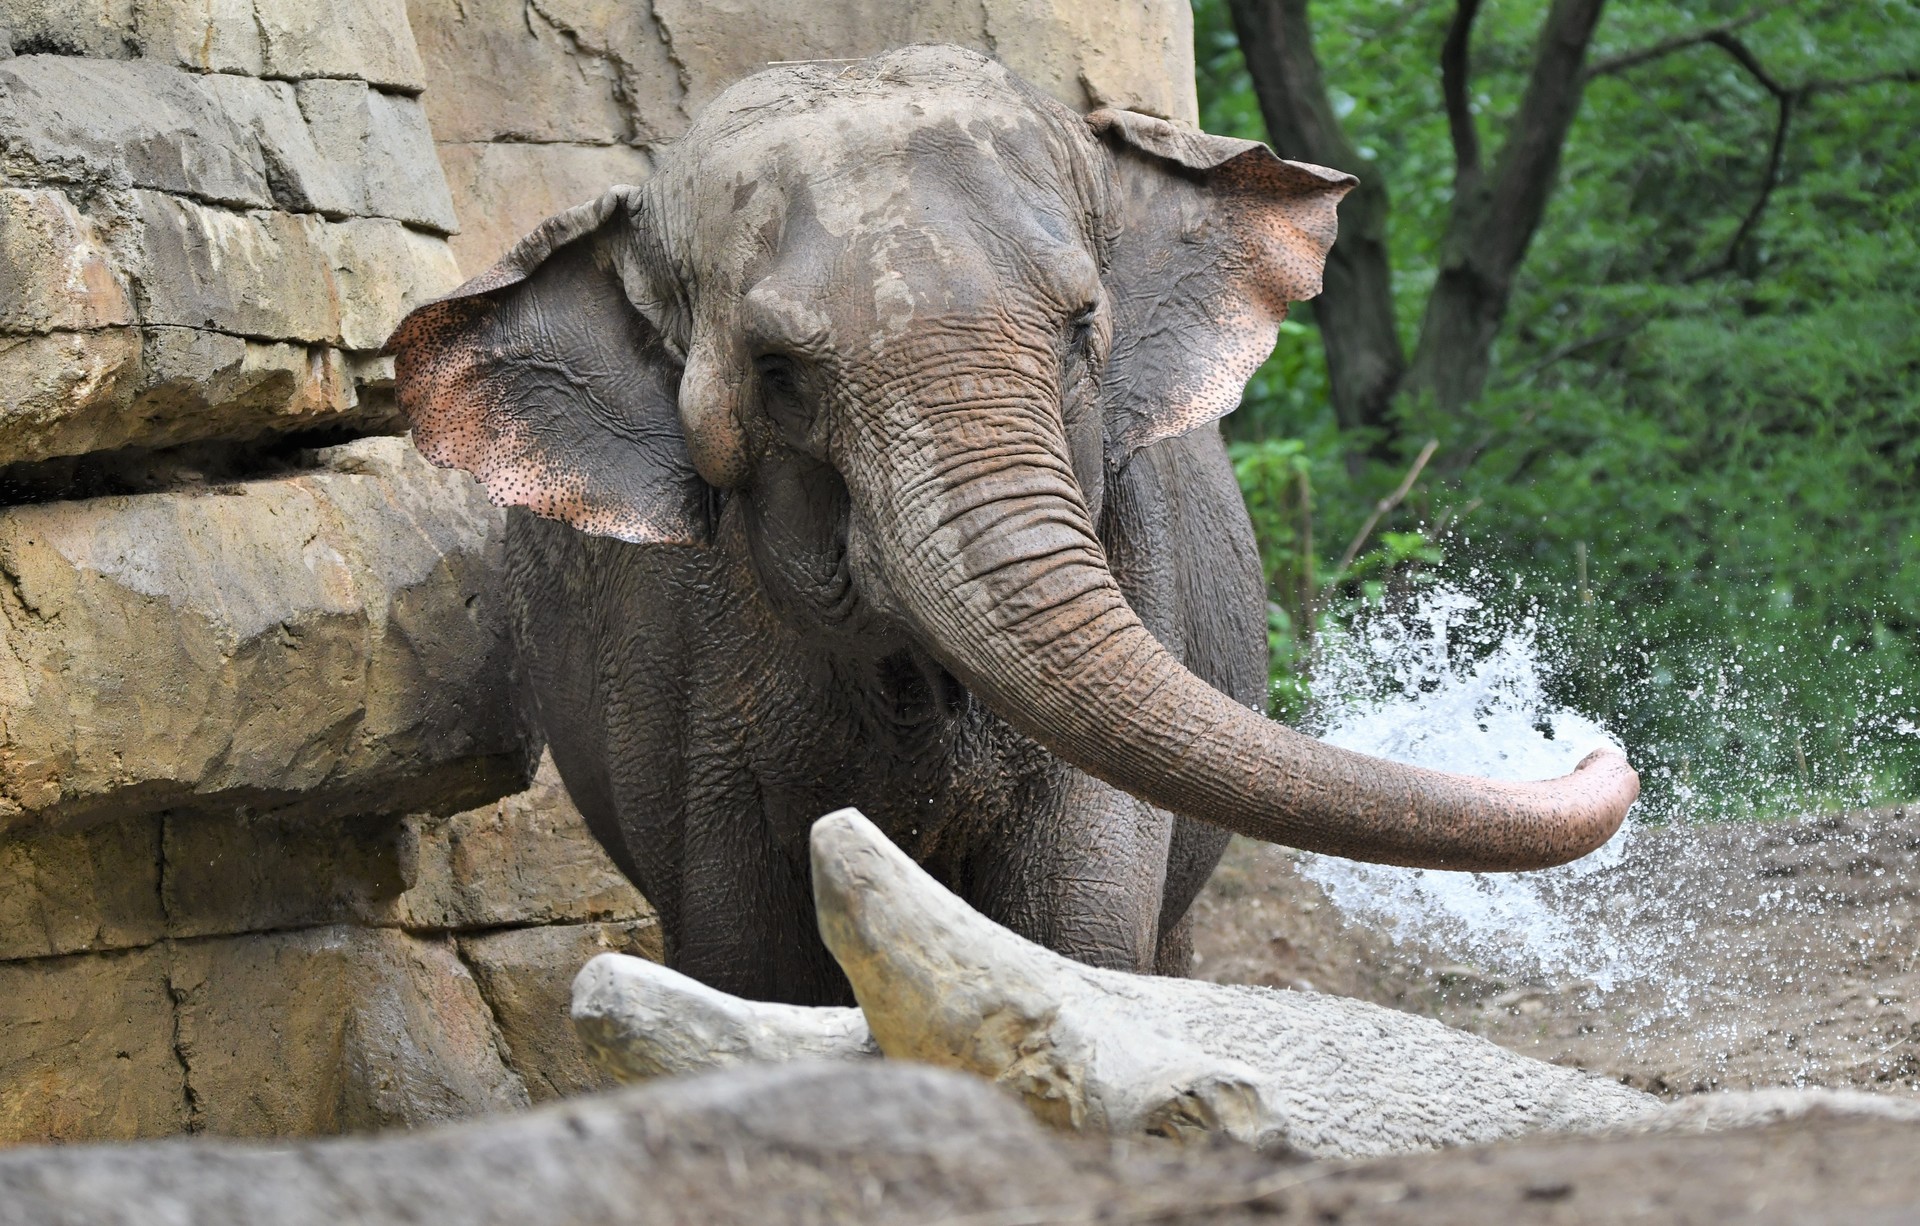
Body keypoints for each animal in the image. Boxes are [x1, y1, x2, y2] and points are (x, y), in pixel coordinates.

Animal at [387, 45, 1637, 1006]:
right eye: (780, 372)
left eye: (1083, 321)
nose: (1594, 739)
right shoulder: (682, 668)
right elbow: (753, 971)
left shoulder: (1142, 563)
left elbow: (1074, 935)